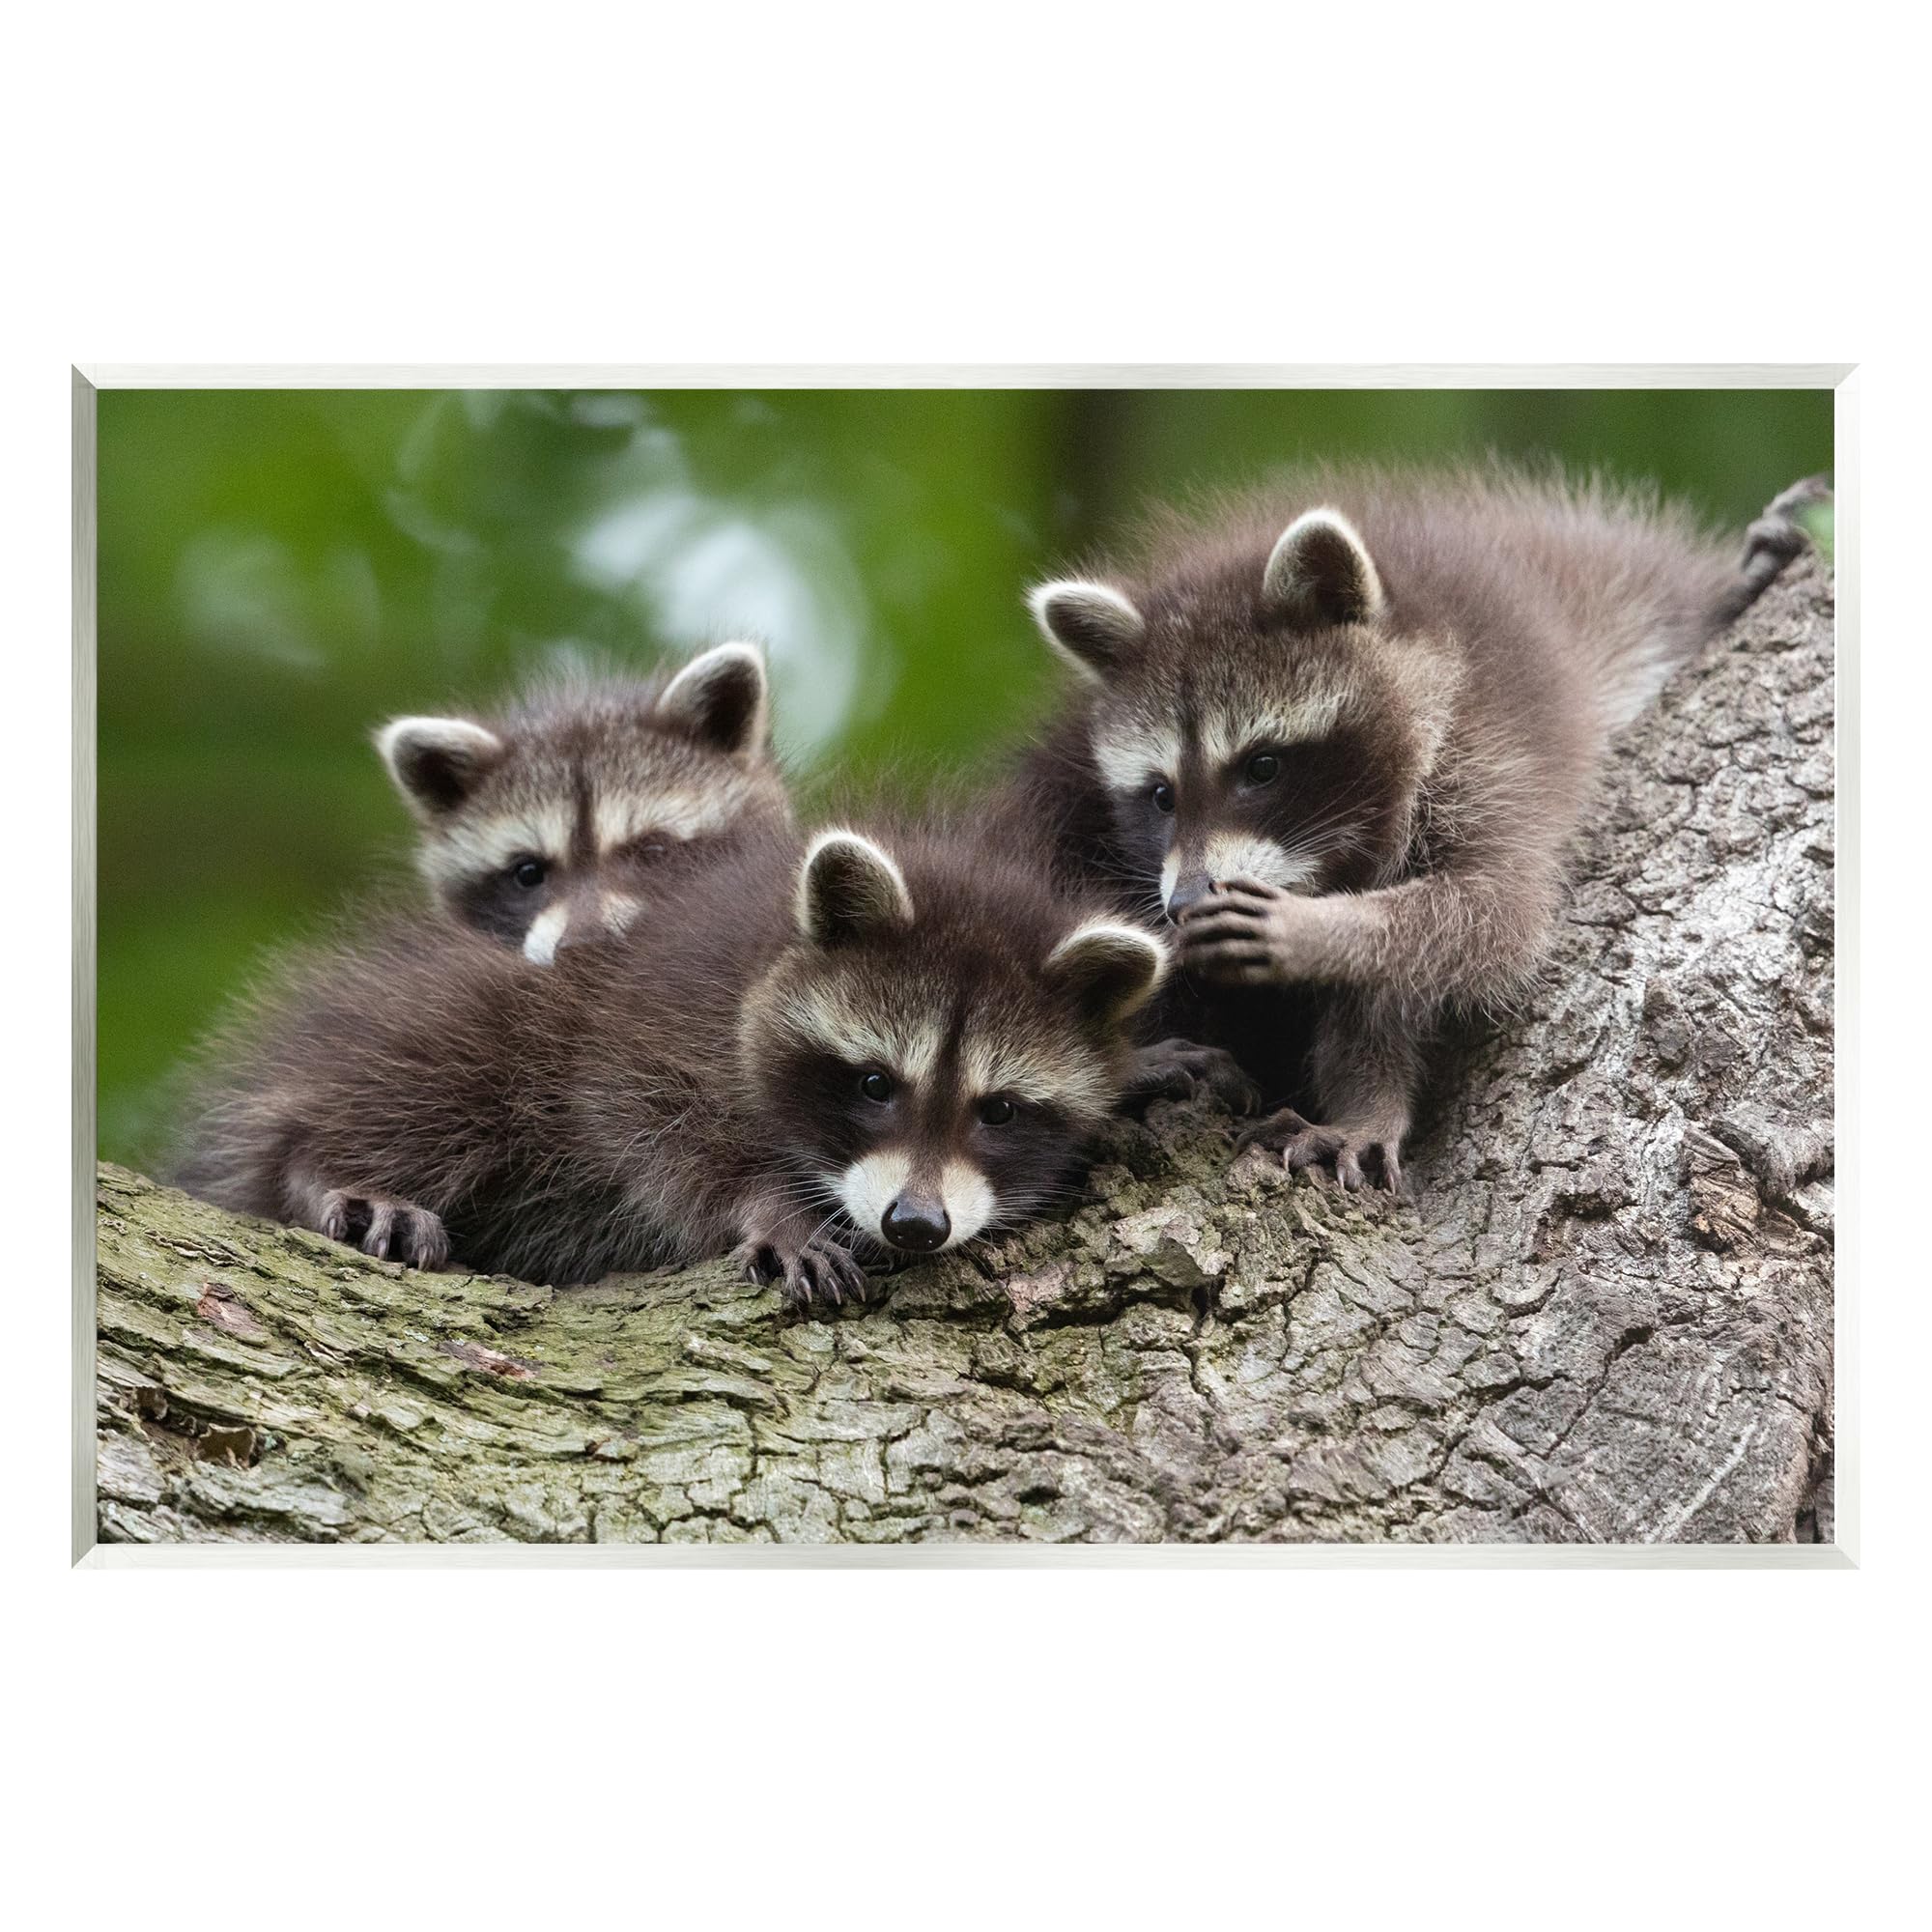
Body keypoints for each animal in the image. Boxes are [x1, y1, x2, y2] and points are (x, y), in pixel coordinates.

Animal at [171, 819, 1167, 1305]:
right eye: (875, 1084)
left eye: (998, 1111)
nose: (915, 1225)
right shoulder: (659, 1014)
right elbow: (652, 1128)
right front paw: (768, 1207)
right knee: (456, 1064)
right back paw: (320, 1164)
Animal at [1010, 464, 1829, 1191]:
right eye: (1160, 797)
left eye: (1263, 766)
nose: (1180, 904)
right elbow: (1388, 990)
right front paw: (1367, 1096)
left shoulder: (1489, 748)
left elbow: (1491, 915)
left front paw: (1322, 931)